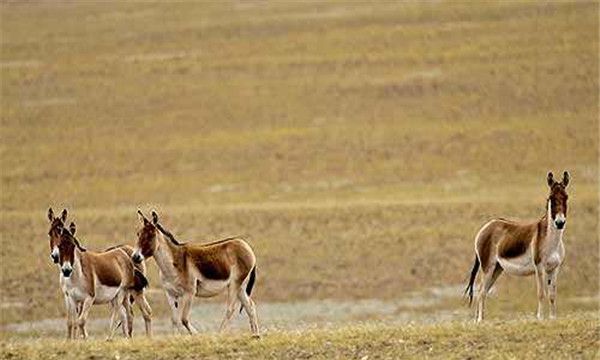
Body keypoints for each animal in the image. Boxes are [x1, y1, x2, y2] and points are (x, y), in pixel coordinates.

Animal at [466, 170, 568, 322]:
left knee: (484, 291)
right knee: (481, 292)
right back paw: (480, 321)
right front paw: (540, 318)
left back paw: (481, 320)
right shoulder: (539, 267)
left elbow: (552, 295)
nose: (560, 223)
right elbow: (541, 293)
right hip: (487, 267)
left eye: (566, 197)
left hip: (497, 268)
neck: (551, 240)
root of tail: (486, 227)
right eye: (551, 198)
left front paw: (552, 318)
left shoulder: (554, 268)